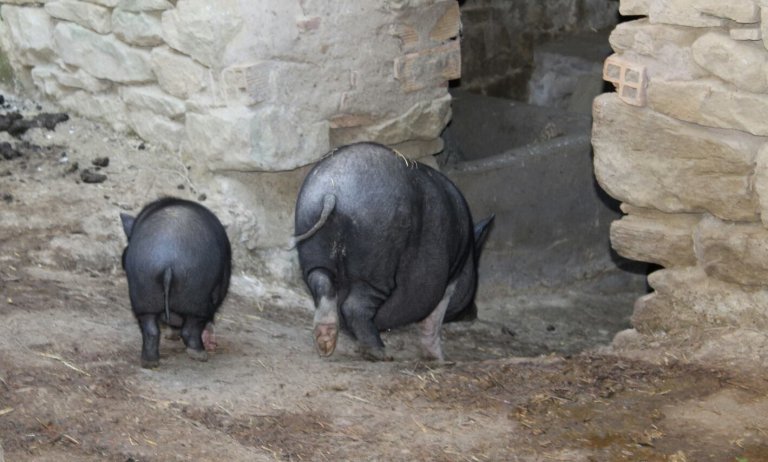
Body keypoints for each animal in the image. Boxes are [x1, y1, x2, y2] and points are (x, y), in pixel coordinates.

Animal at [120, 198, 231, 368]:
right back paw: (200, 355)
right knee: (191, 329)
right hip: (197, 298)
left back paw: (149, 362)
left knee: (150, 329)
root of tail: (168, 263)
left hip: (143, 292)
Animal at [292, 142, 496, 360]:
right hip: (377, 262)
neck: (467, 254)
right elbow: (433, 321)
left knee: (322, 284)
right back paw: (380, 352)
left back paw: (326, 344)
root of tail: (331, 193)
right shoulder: (449, 281)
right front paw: (441, 360)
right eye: (476, 274)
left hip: (312, 240)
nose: (474, 312)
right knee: (354, 307)